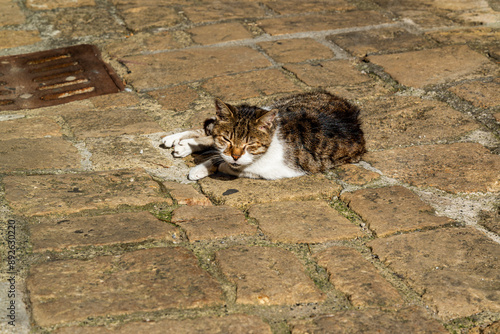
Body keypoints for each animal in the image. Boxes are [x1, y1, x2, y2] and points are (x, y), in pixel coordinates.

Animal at [162, 90, 366, 180]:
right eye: (227, 139)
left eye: (250, 144)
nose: (235, 155)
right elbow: (217, 147)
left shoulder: (280, 171)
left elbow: (229, 166)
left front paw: (203, 168)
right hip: (278, 105)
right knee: (209, 128)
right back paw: (176, 140)